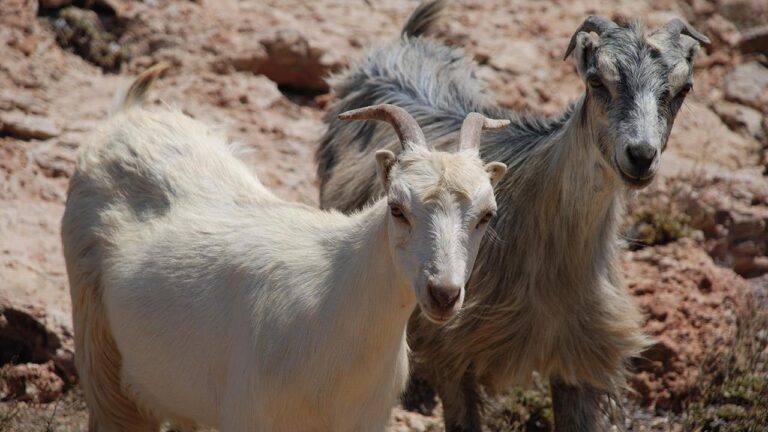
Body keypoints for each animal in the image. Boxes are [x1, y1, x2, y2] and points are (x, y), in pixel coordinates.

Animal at [61, 65, 510, 432]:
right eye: (397, 208)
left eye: (487, 214)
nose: (443, 294)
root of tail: (127, 116)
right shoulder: (252, 415)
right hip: (98, 346)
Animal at [316, 1, 712, 430]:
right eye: (596, 81)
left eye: (684, 89)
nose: (640, 156)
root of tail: (408, 38)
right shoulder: (453, 353)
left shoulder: (581, 361)